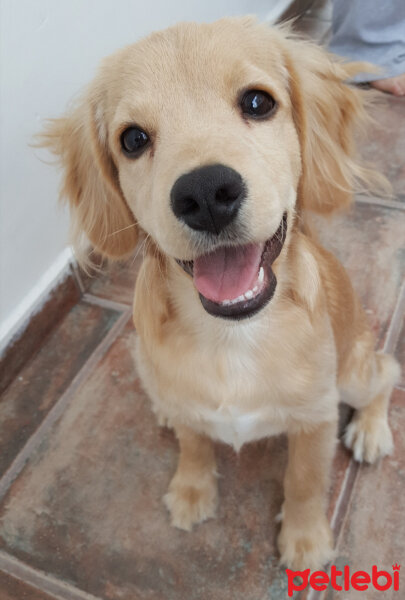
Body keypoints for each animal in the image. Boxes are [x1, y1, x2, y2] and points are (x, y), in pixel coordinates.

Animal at [39, 17, 400, 572]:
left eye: (257, 102)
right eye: (133, 139)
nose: (206, 194)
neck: (232, 335)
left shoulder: (315, 418)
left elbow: (305, 481)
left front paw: (305, 538)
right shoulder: (188, 397)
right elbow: (194, 445)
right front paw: (192, 491)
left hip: (355, 374)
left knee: (386, 372)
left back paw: (371, 429)